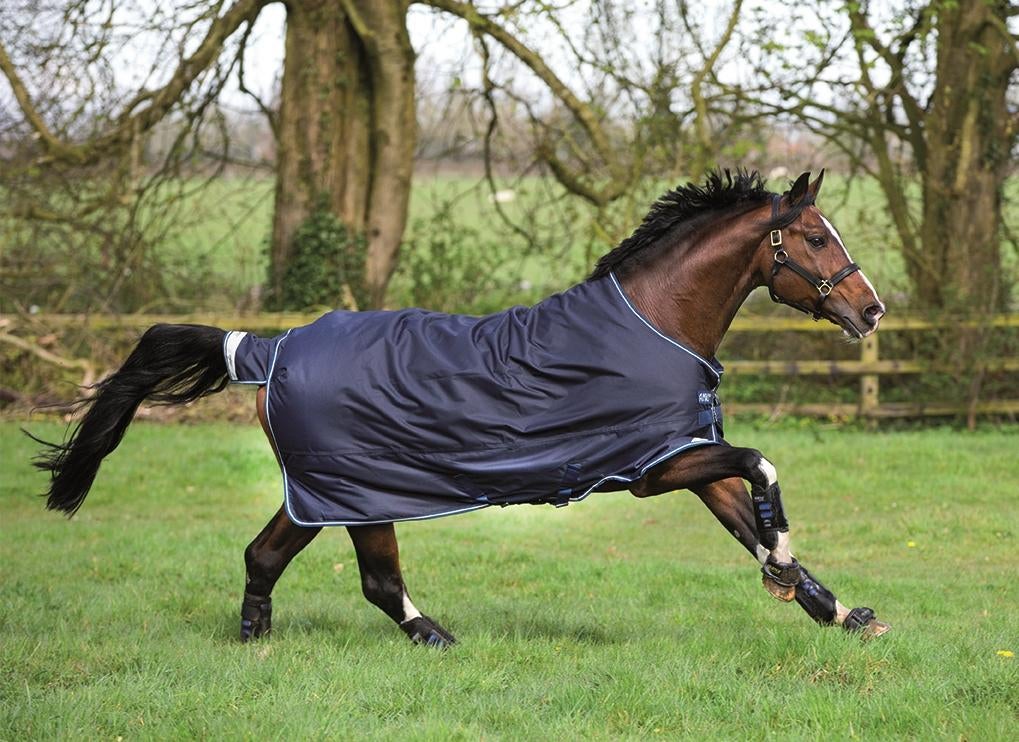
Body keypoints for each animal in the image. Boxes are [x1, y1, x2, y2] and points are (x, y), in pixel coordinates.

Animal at [31, 169, 890, 647]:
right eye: (815, 237)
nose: (871, 310)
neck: (654, 320)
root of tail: (267, 350)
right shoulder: (654, 467)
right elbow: (761, 467)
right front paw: (787, 569)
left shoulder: (680, 456)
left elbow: (744, 516)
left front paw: (836, 610)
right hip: (358, 493)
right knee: (375, 581)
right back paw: (434, 636)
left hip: (318, 493)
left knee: (263, 556)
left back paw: (257, 643)